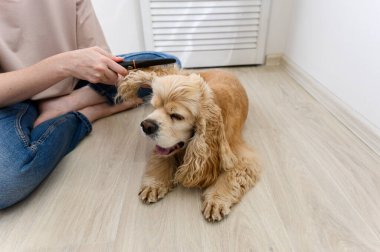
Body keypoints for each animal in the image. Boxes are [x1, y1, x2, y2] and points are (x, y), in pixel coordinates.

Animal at [118, 66, 262, 221]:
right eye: (154, 107)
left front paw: (215, 200)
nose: (146, 126)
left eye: (177, 116)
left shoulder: (241, 157)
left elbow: (230, 176)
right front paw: (154, 184)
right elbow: (161, 159)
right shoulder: (165, 146)